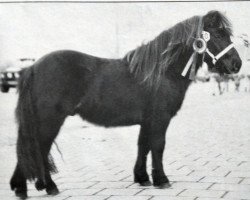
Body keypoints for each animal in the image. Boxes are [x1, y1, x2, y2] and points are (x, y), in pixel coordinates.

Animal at [10, 10, 242, 198]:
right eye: (218, 35)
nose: (236, 64)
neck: (161, 72)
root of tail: (32, 68)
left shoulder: (147, 120)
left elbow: (143, 146)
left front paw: (143, 178)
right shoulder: (160, 119)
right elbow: (158, 146)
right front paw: (162, 180)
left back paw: (23, 187)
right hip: (50, 121)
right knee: (39, 149)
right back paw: (48, 187)